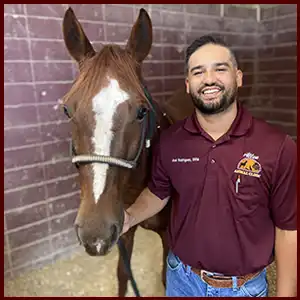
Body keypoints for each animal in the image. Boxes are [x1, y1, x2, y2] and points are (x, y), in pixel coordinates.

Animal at [61, 6, 192, 296]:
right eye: (66, 109)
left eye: (142, 111)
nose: (94, 234)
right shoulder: (122, 231)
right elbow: (123, 275)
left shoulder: (167, 237)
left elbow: (167, 279)